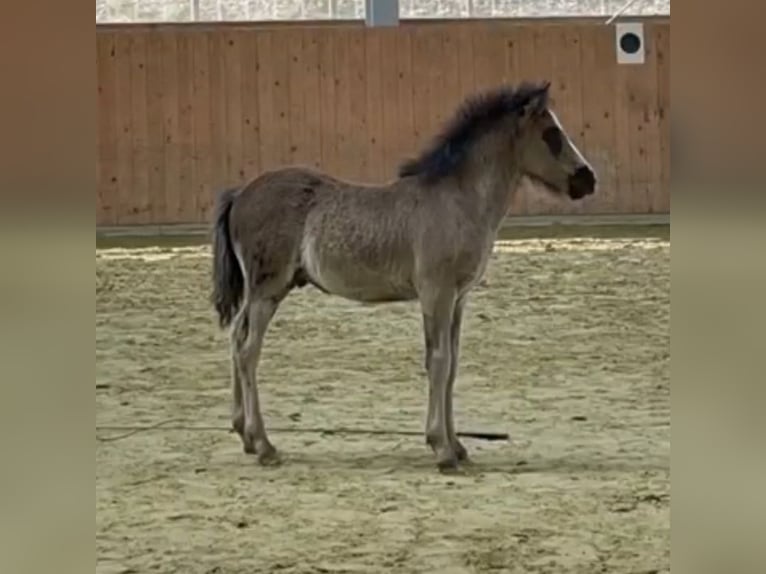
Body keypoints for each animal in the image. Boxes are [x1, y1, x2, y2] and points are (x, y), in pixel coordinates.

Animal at [212, 82, 600, 472]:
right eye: (551, 134)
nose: (587, 179)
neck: (456, 201)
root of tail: (240, 194)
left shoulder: (459, 298)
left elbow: (453, 364)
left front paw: (458, 445)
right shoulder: (436, 293)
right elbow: (438, 361)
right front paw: (442, 449)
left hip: (261, 292)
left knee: (235, 338)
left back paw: (245, 435)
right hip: (267, 289)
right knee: (248, 350)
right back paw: (264, 445)